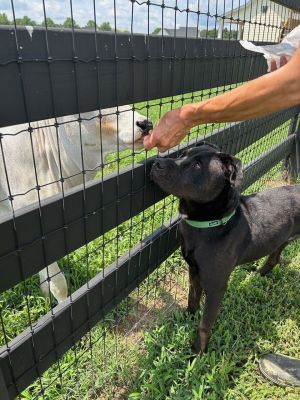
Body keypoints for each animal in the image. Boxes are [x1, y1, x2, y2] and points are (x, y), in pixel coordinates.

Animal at [151, 142, 300, 352]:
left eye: (197, 166)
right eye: (183, 154)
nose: (157, 162)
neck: (209, 224)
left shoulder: (216, 287)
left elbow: (205, 324)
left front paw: (197, 352)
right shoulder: (194, 270)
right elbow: (192, 299)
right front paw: (186, 319)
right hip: (281, 239)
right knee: (274, 259)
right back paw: (258, 275)